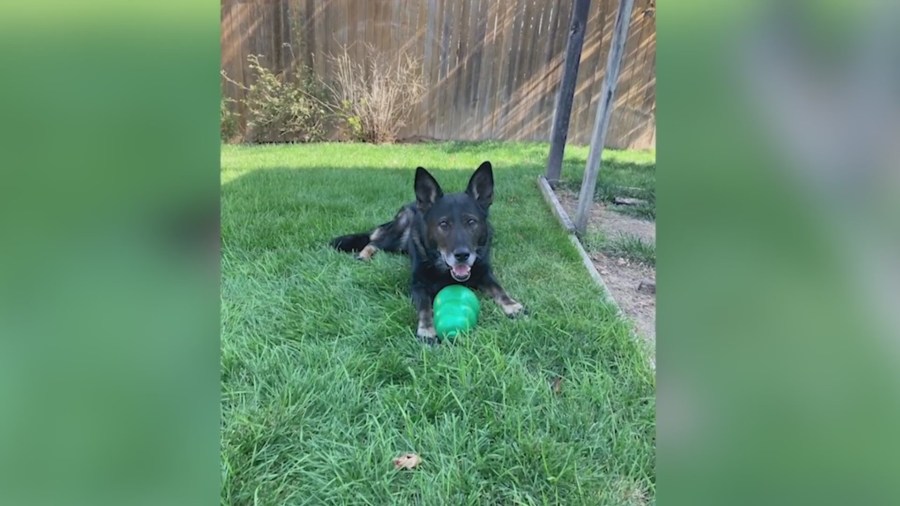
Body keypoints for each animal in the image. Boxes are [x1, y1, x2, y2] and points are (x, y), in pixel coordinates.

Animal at [330, 162, 528, 344]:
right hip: (397, 236)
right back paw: (364, 255)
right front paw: (426, 330)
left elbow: (498, 288)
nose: (462, 255)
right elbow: (425, 307)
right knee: (374, 241)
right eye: (443, 224)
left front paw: (512, 305)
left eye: (471, 222)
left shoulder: (485, 273)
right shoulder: (418, 285)